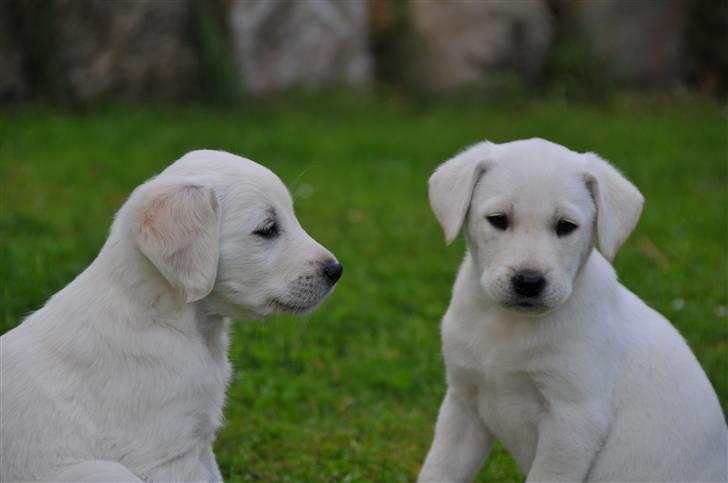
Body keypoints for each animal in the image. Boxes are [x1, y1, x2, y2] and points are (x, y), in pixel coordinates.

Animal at [0, 149, 342, 482]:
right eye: (268, 229)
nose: (336, 270)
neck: (168, 319)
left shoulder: (199, 440)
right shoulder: (166, 454)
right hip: (106, 471)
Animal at [418, 138, 724, 482]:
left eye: (566, 226)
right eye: (498, 219)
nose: (528, 282)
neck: (509, 326)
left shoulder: (573, 420)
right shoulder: (463, 404)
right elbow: (439, 469)